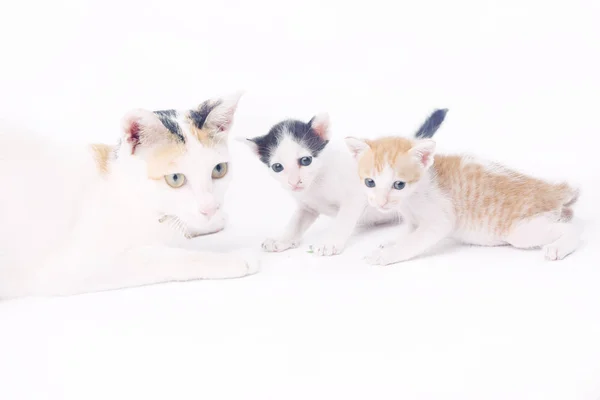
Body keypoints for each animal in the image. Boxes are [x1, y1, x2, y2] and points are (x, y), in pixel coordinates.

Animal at [237, 108, 448, 256]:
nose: (294, 182)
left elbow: (343, 219)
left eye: (305, 160)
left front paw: (330, 242)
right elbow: (296, 222)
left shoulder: (356, 195)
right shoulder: (307, 205)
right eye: (277, 167)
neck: (316, 183)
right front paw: (282, 239)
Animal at [346, 136, 580, 264]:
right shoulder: (412, 219)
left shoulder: (440, 219)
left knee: (572, 229)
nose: (381, 203)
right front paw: (389, 242)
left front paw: (385, 255)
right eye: (370, 182)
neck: (412, 198)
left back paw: (558, 247)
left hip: (521, 232)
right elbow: (408, 232)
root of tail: (553, 189)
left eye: (399, 185)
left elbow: (414, 240)